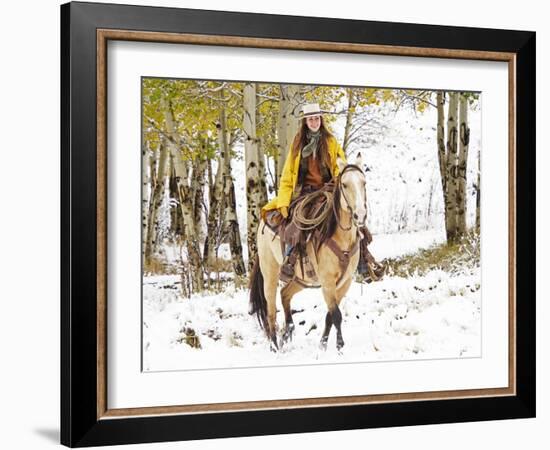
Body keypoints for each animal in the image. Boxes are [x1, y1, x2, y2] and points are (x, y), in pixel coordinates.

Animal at [248, 156, 368, 352]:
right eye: (344, 184)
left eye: (364, 183)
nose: (360, 215)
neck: (340, 237)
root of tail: (263, 221)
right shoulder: (327, 282)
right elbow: (336, 315)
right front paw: (340, 346)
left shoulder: (345, 282)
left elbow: (330, 316)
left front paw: (323, 345)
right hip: (270, 273)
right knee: (271, 308)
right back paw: (274, 345)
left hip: (301, 278)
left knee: (285, 295)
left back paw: (288, 331)